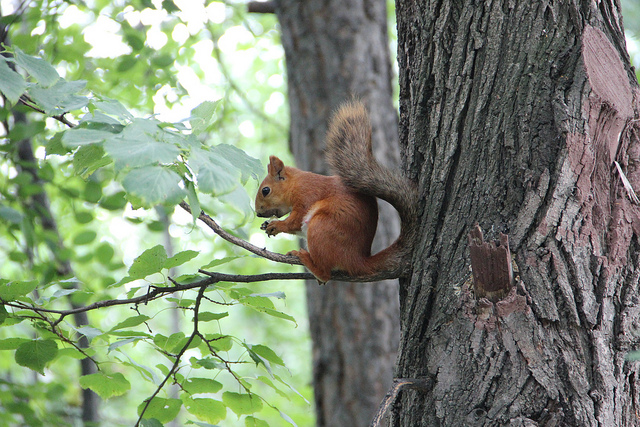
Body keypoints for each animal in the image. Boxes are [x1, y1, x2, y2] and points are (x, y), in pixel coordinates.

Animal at [252, 100, 418, 284]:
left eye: (265, 190)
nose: (258, 213)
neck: (296, 184)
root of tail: (358, 260)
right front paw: (267, 225)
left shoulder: (307, 196)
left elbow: (294, 221)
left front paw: (276, 225)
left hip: (321, 227)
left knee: (325, 272)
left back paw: (305, 259)